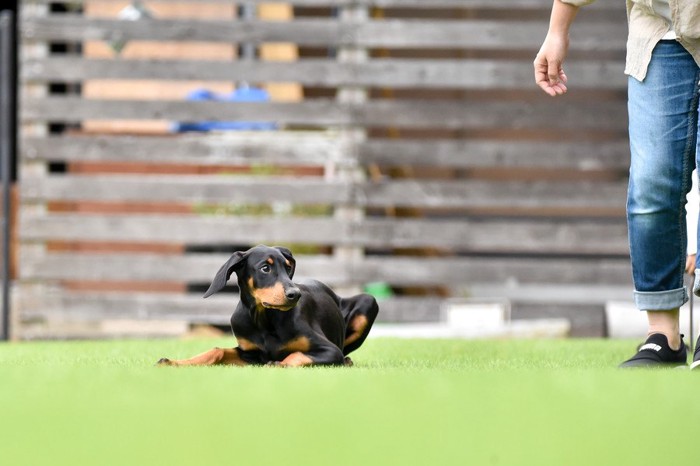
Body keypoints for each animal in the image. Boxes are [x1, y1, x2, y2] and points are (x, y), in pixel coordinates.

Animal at [157, 244, 380, 368]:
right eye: (265, 268)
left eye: (288, 268)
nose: (295, 294)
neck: (264, 320)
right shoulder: (250, 354)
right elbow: (216, 350)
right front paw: (174, 362)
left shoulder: (330, 350)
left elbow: (296, 354)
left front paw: (278, 364)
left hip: (369, 302)